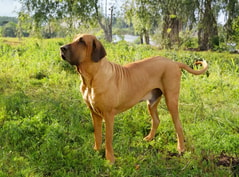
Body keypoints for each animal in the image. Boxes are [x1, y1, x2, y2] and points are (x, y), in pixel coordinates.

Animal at [60, 33, 208, 163]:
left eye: (82, 41)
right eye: (74, 39)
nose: (61, 48)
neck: (91, 79)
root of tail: (174, 62)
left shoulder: (108, 115)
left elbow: (108, 139)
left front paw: (110, 159)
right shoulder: (94, 113)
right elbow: (97, 135)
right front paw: (96, 151)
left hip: (171, 100)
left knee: (178, 125)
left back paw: (181, 148)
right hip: (152, 102)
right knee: (156, 120)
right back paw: (149, 138)